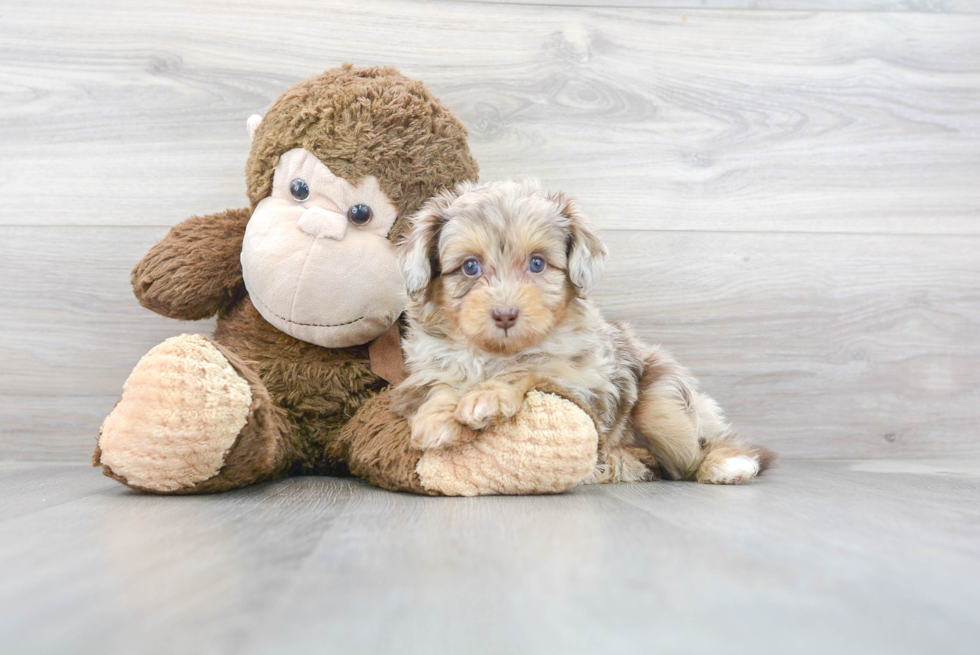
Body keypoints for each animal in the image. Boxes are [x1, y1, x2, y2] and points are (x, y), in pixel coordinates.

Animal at [390, 182, 772, 484]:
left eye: (537, 263)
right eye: (470, 266)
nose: (505, 314)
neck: (493, 353)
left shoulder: (584, 379)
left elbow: (530, 366)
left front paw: (489, 396)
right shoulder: (426, 366)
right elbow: (440, 382)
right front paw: (438, 418)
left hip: (664, 403)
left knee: (694, 455)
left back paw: (727, 464)